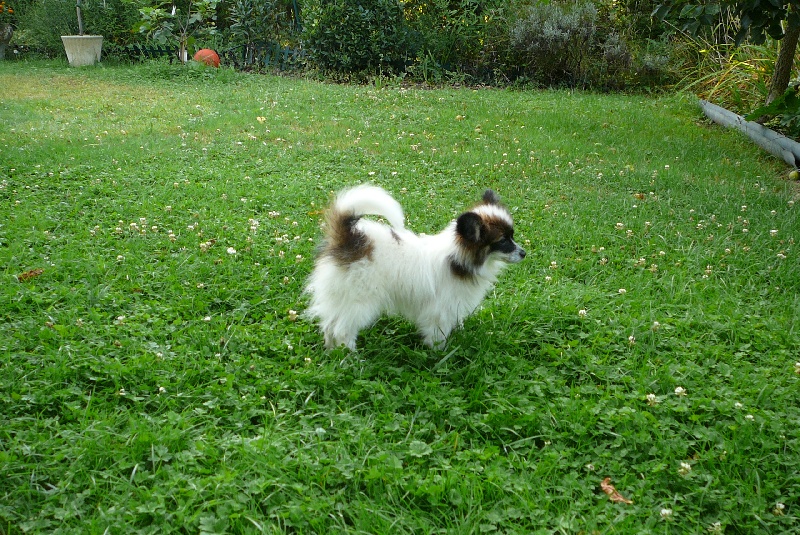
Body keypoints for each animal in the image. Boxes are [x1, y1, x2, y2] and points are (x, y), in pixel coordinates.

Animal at [304, 185, 524, 352]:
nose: (524, 253)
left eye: (512, 235)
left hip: (341, 296)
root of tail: (350, 239)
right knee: (342, 329)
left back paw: (332, 352)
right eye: (503, 241)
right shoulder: (440, 312)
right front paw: (440, 355)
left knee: (329, 326)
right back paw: (350, 358)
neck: (458, 259)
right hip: (360, 301)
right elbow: (438, 337)